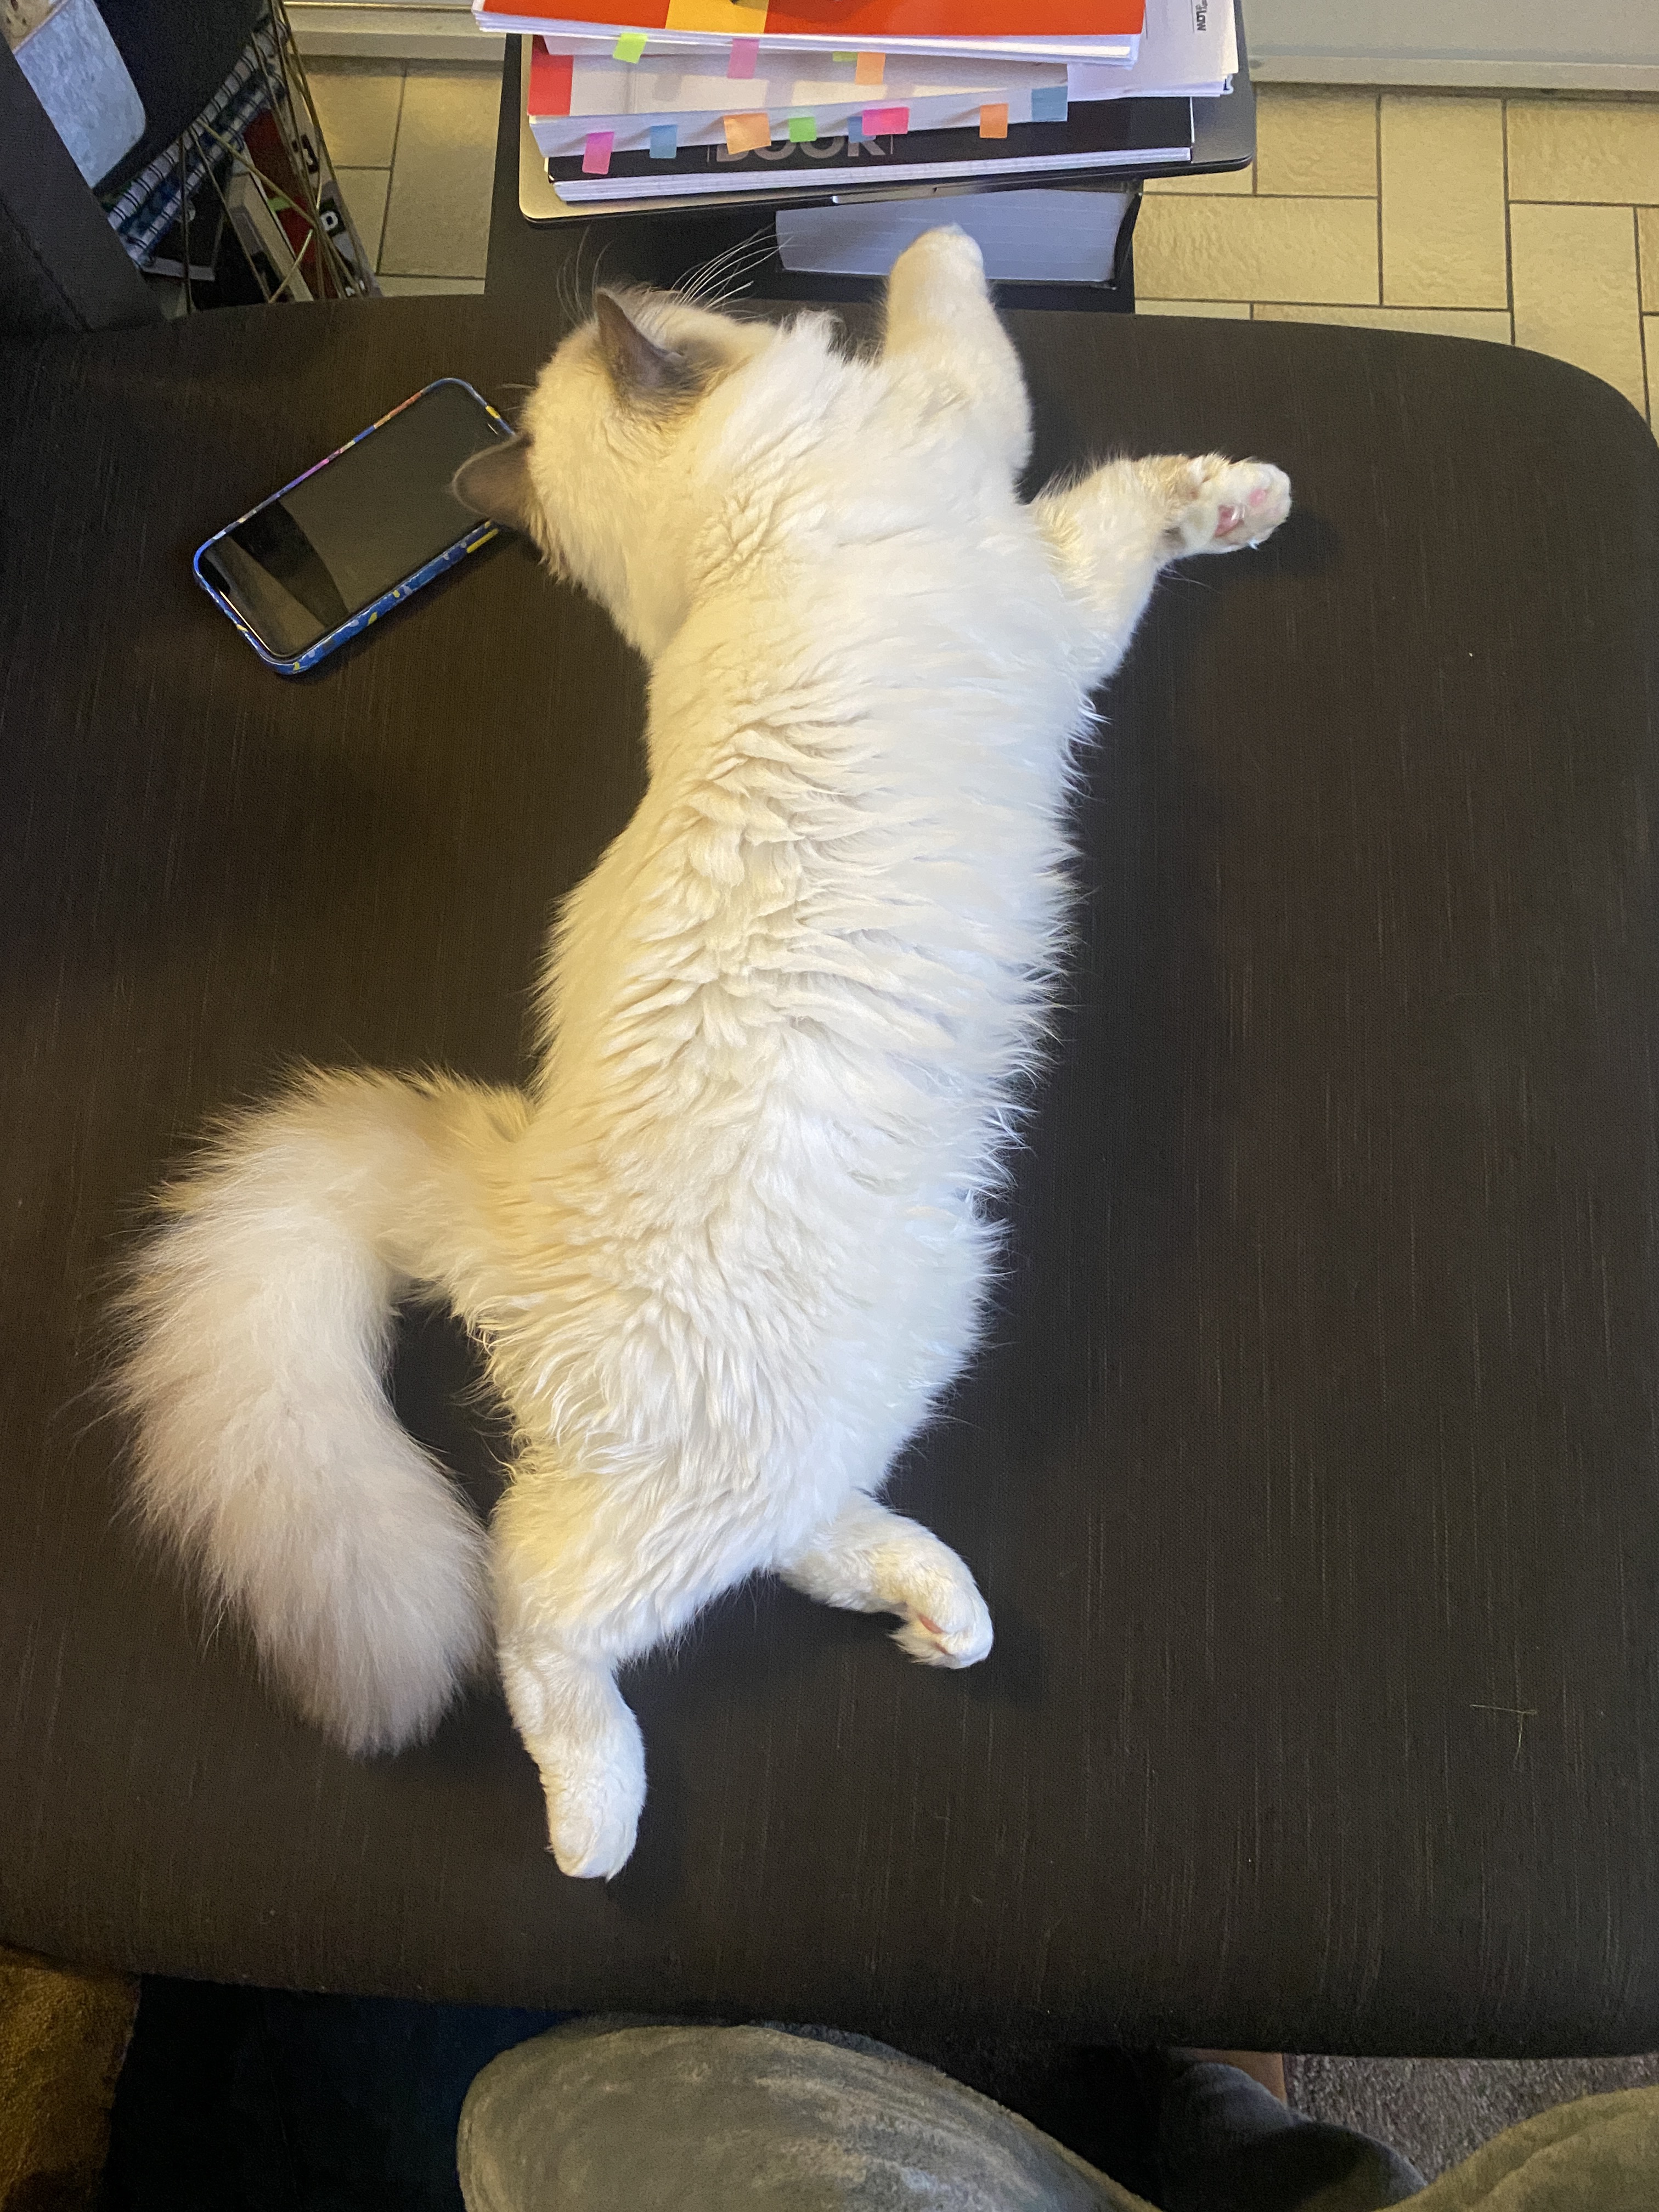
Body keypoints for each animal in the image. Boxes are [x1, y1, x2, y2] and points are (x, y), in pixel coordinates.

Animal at [116, 229, 1290, 1879]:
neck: (731, 549)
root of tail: (500, 1195)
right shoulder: (1020, 520)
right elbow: (989, 351)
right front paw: (947, 237)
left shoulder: (1034, 565)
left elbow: (1116, 485)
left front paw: (1234, 498)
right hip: (733, 1445)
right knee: (539, 1609)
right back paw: (594, 1827)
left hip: (887, 1355)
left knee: (803, 1541)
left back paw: (946, 1617)